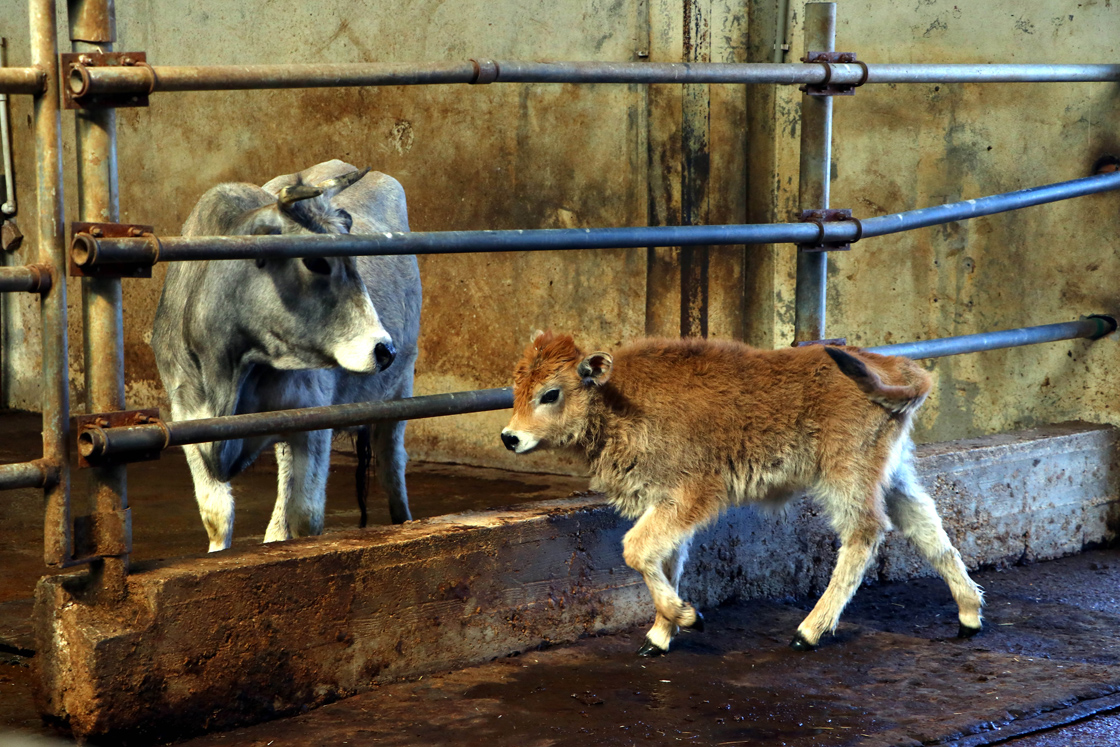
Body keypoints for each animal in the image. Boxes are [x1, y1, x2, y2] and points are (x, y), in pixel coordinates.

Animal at [151, 161, 421, 553]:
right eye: (315, 261)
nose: (384, 349)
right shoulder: (187, 417)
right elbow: (216, 514)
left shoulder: (313, 420)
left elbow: (306, 516)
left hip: (401, 387)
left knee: (391, 462)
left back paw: (404, 521)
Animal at [499, 333, 981, 654]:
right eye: (516, 388)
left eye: (551, 393)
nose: (510, 437)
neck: (617, 395)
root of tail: (900, 367)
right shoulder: (667, 504)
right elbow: (665, 560)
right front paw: (660, 635)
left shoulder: (690, 494)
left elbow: (636, 550)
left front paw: (687, 617)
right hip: (893, 474)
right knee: (927, 528)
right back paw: (970, 615)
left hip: (846, 476)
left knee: (864, 533)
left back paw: (808, 631)